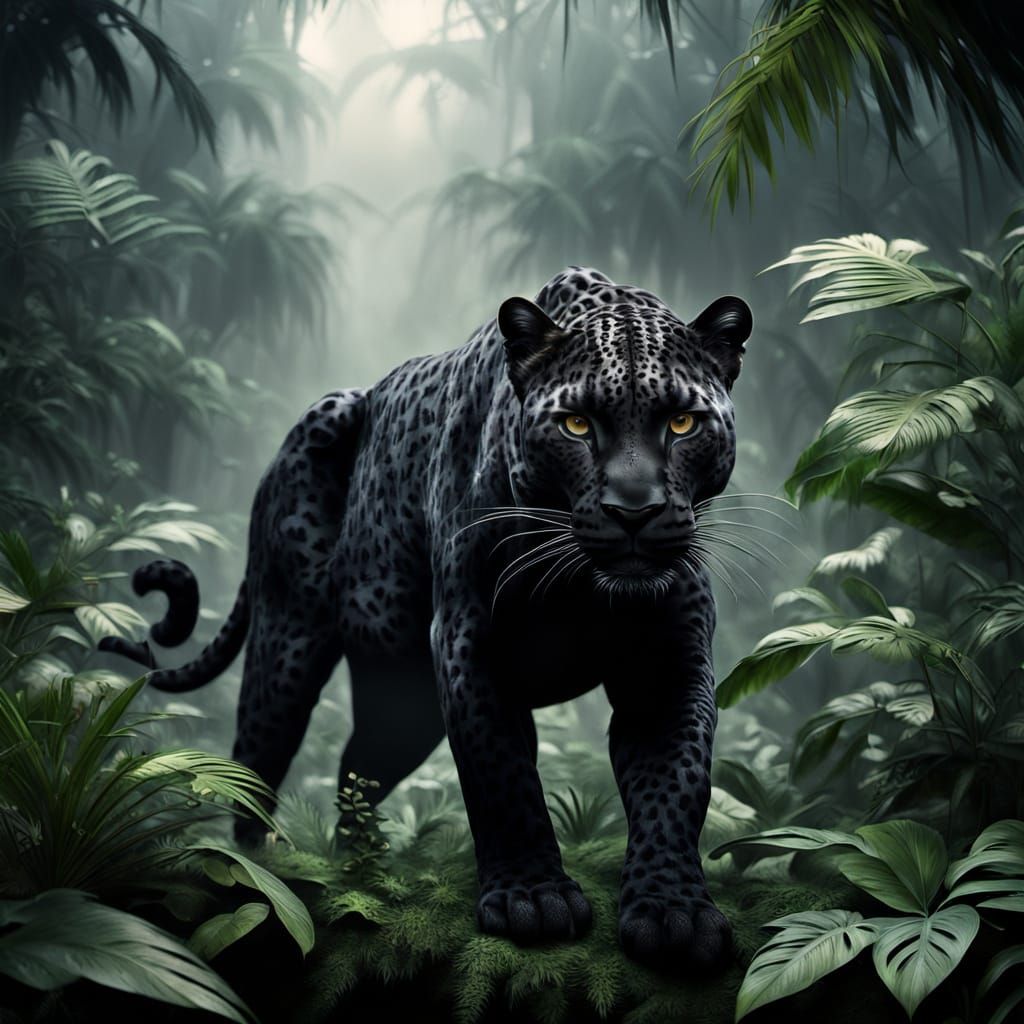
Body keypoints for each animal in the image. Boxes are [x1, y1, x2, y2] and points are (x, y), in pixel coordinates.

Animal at [102, 266, 753, 971]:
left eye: (682, 422)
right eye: (577, 424)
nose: (634, 510)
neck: (581, 584)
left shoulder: (665, 666)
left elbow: (677, 781)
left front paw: (673, 912)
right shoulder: (470, 643)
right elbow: (502, 775)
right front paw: (531, 901)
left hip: (403, 703)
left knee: (355, 770)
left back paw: (364, 867)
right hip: (288, 647)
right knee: (252, 766)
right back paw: (260, 872)